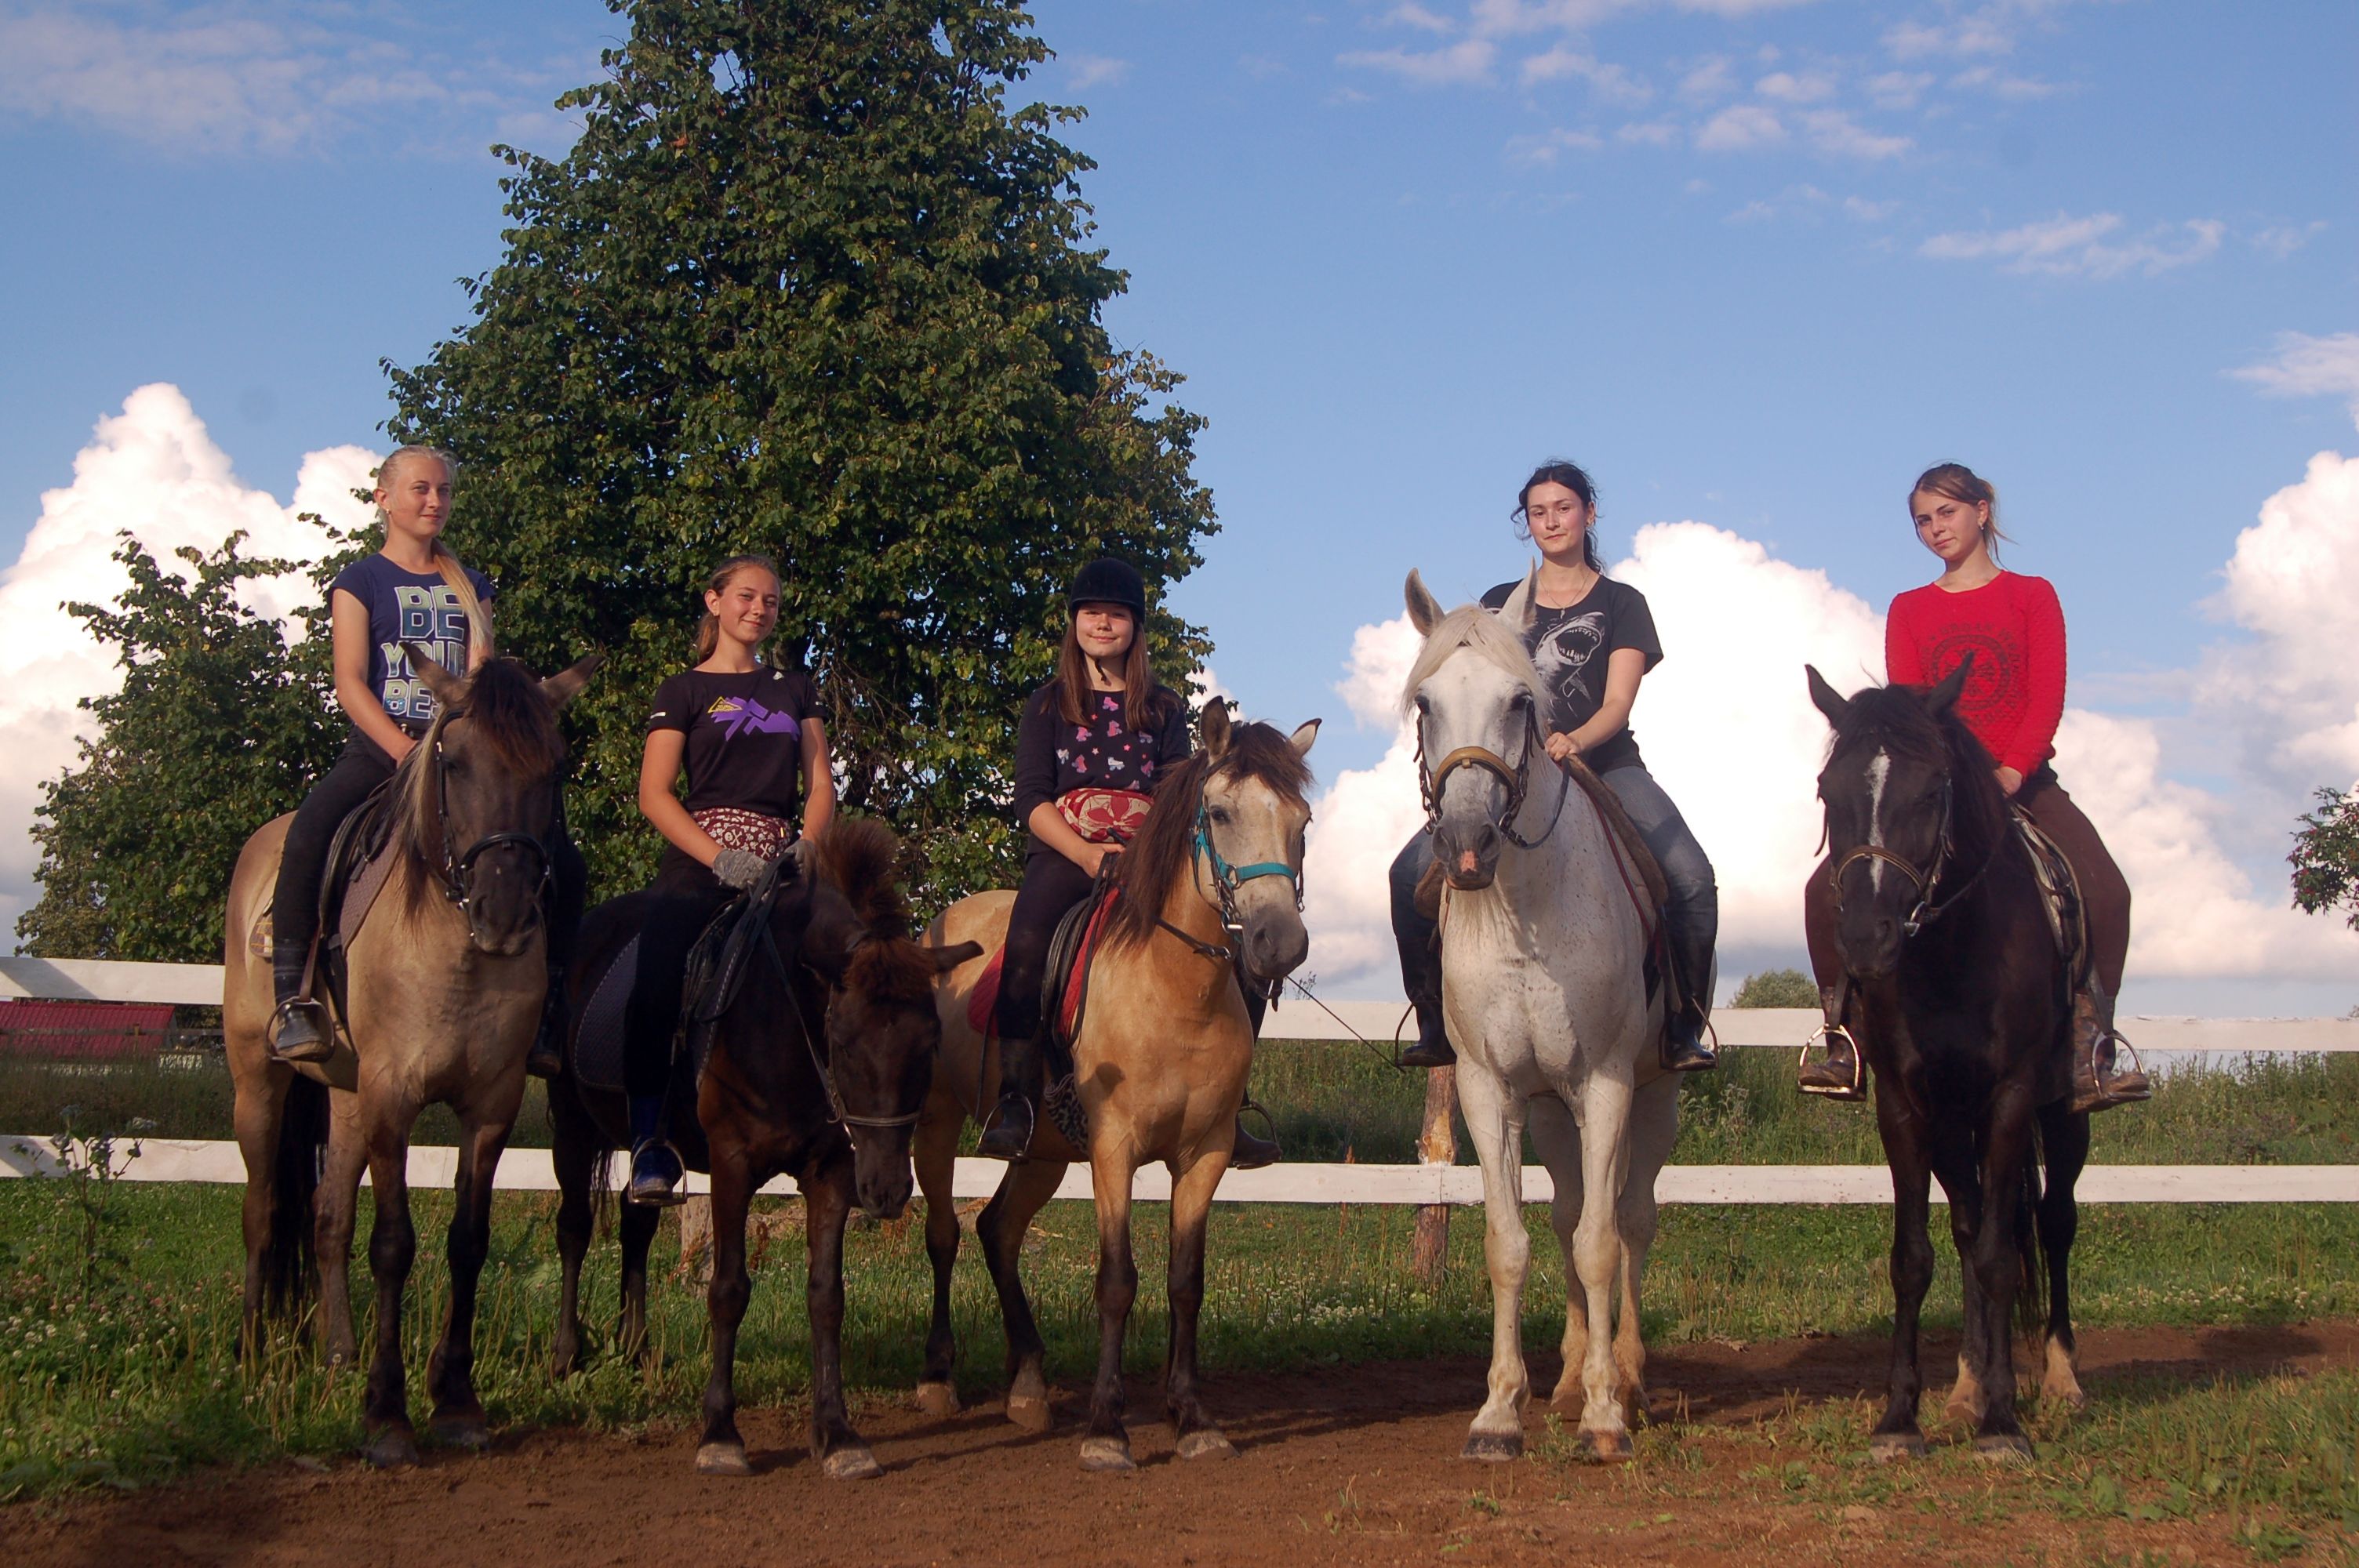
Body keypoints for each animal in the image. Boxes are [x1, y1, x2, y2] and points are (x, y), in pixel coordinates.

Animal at [224, 647, 599, 1467]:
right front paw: (387, 1416)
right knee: (263, 1214)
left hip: (345, 1096)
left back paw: (337, 1355)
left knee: (327, 1218)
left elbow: (468, 1241)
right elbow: (394, 1243)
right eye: (452, 762)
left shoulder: (489, 1107)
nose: (503, 914)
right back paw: (253, 1359)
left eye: (554, 768)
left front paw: (456, 1401)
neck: (455, 952)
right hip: (259, 1082)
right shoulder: (393, 1099)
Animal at [547, 819, 982, 1479]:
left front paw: (837, 1434)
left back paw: (637, 1351)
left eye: (931, 1041)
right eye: (843, 1041)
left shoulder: (832, 1171)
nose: (886, 1191)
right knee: (573, 1228)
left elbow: (826, 1295)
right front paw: (721, 1434)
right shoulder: (732, 1166)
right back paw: (567, 1356)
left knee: (635, 1224)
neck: (784, 1025)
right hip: (569, 1121)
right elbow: (728, 1290)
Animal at [914, 700, 1317, 1471]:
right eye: (1219, 812)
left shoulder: (1204, 1155)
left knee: (998, 1230)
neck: (1173, 987)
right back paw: (938, 1378)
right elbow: (1117, 1280)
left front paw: (1192, 1418)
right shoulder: (1113, 1150)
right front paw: (1107, 1428)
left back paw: (1028, 1386)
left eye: (1301, 819)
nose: (1279, 944)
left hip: (1042, 1152)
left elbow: (1185, 1282)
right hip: (938, 1124)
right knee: (945, 1233)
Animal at [1402, 569, 1679, 1464]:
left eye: (1522, 701)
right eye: (1426, 702)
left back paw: (1624, 1376)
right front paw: (1499, 1411)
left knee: (1630, 1220)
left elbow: (1601, 1243)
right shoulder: (1490, 1090)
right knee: (1565, 1215)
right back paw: (1563, 1381)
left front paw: (1605, 1416)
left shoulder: (1607, 1085)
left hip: (1653, 1097)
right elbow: (1511, 1243)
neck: (1524, 909)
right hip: (1554, 1111)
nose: (1465, 843)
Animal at [1806, 661, 2091, 1462]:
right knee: (1968, 1224)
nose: (1866, 939)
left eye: (1934, 790)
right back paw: (1967, 1386)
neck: (1953, 950)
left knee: (2053, 1220)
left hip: (2064, 1111)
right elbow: (1918, 1255)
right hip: (1952, 1124)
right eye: (1827, 790)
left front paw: (2004, 1423)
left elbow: (2001, 1254)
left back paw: (2059, 1380)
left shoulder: (2013, 1096)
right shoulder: (1904, 1104)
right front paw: (1901, 1418)